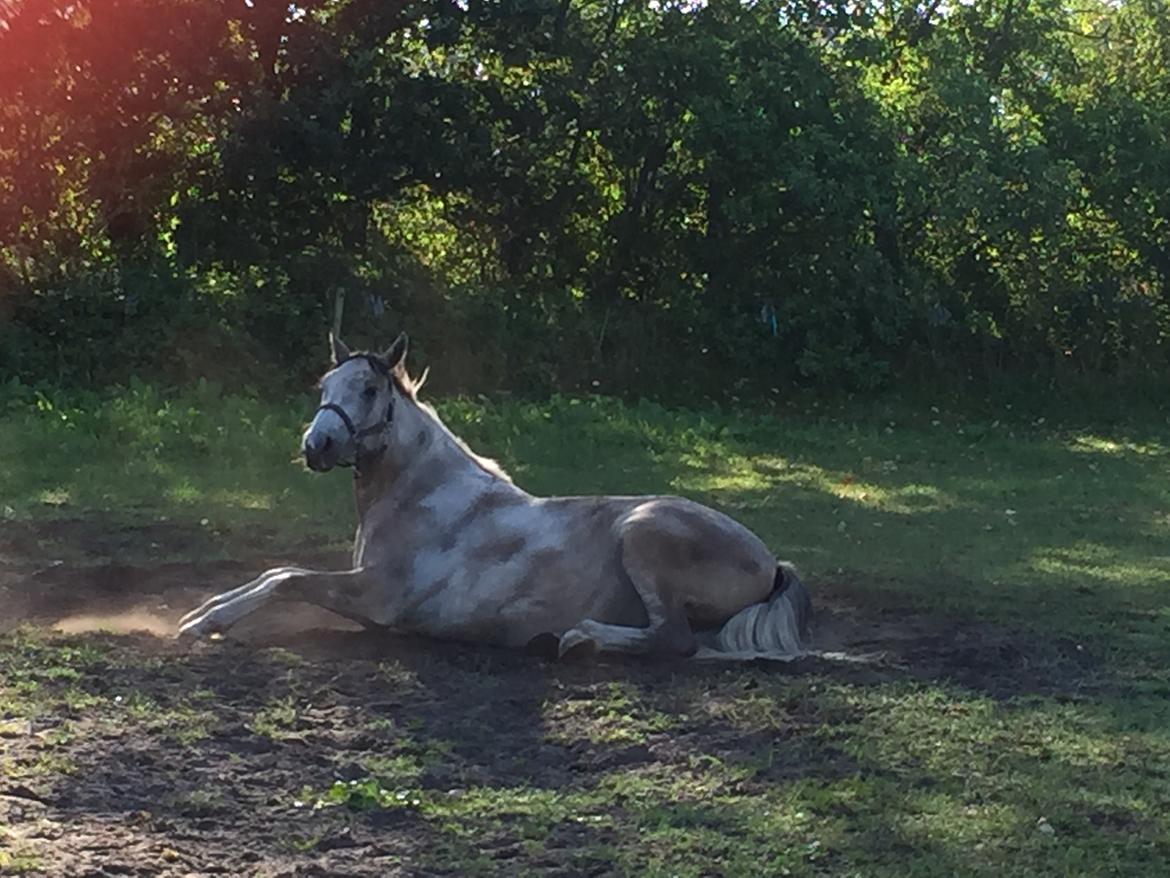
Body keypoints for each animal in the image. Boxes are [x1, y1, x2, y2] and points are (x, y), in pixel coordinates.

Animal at [177, 334, 809, 660]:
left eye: (370, 388)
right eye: (324, 387)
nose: (317, 444)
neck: (421, 495)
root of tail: (768, 561)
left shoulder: (376, 598)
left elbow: (286, 578)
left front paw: (205, 623)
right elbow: (274, 572)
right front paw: (200, 613)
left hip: (644, 531)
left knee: (674, 639)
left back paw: (578, 637)